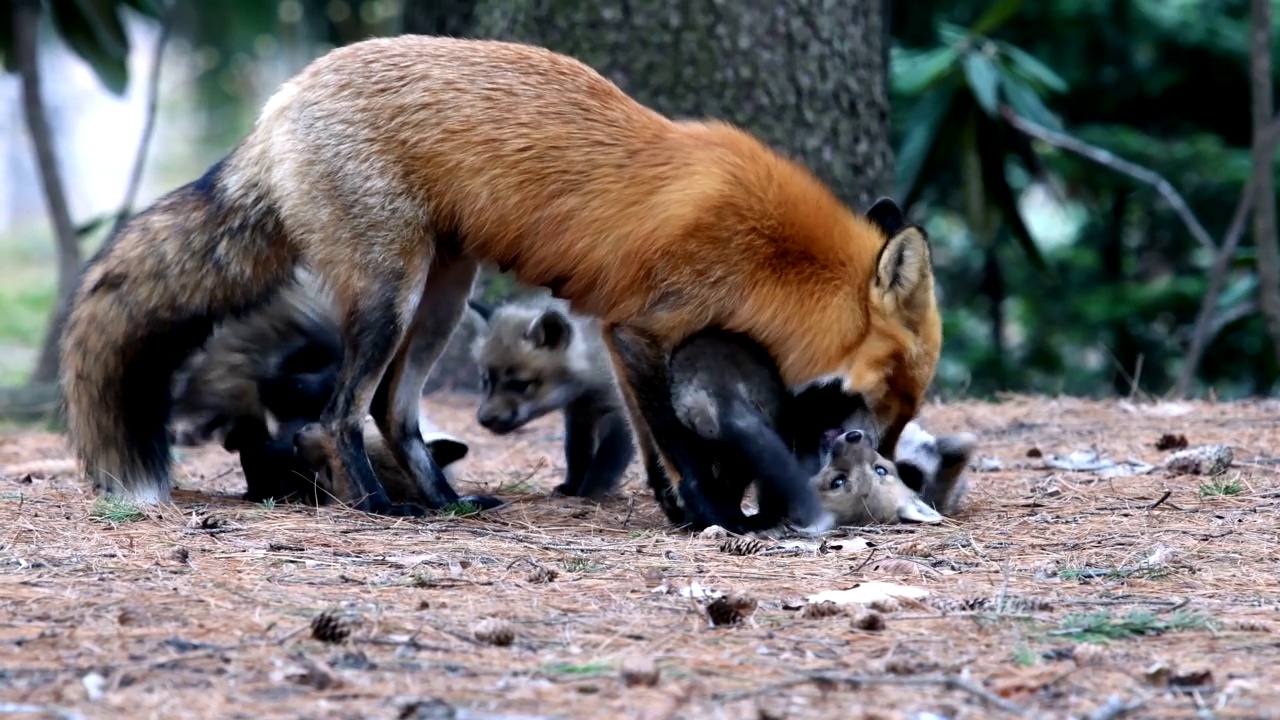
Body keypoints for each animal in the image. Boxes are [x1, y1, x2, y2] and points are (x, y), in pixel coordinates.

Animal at [60, 36, 942, 517]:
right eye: (894, 393)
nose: (892, 463)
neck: (767, 254)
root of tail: (278, 104)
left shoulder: (621, 340)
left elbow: (646, 445)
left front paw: (680, 513)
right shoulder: (638, 330)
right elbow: (676, 445)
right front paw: (710, 513)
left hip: (445, 295)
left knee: (391, 410)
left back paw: (445, 502)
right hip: (391, 292)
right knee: (338, 414)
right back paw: (381, 508)